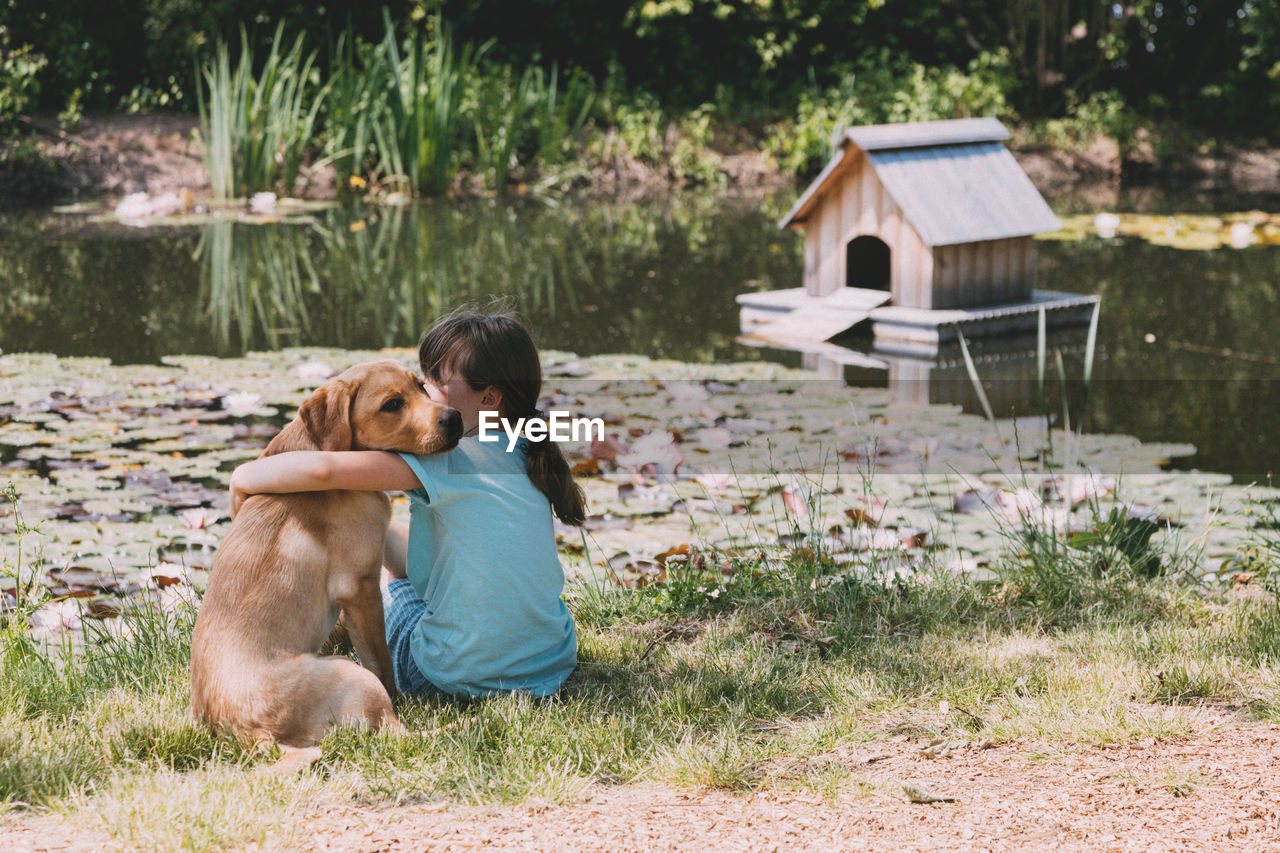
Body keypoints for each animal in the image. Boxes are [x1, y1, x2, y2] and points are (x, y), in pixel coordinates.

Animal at [192, 358, 463, 763]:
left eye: (421, 386)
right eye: (392, 404)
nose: (455, 418)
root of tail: (249, 734)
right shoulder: (362, 589)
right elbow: (382, 662)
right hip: (351, 673)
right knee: (397, 733)